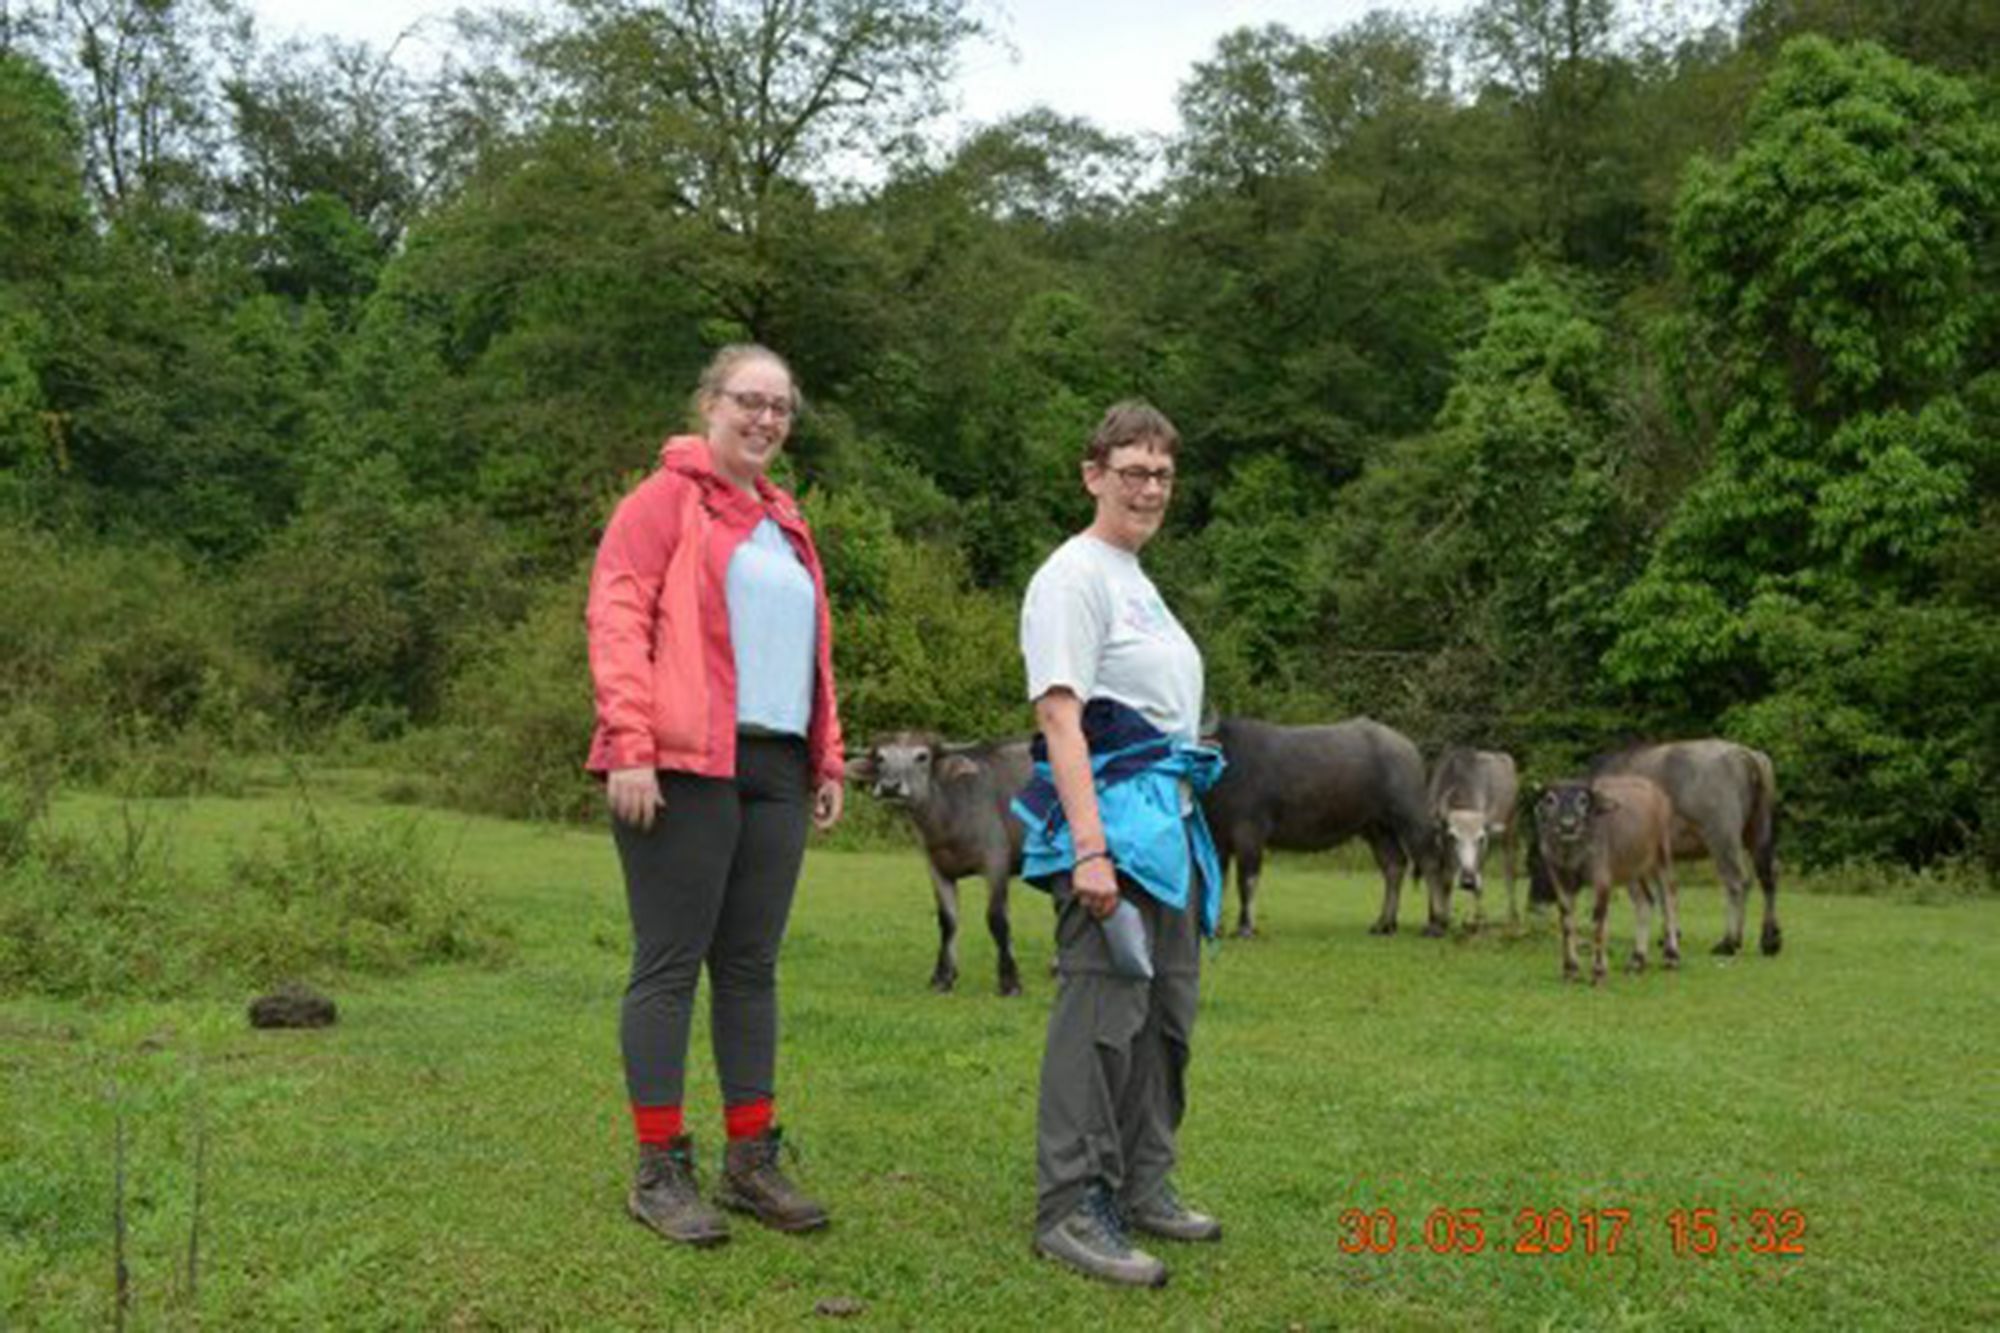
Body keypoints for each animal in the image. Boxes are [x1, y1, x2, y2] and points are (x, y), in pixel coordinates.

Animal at [844, 732, 1032, 992]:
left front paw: (1009, 980)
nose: (890, 786)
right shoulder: (937, 869)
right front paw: (943, 977)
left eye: (922, 757)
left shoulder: (996, 865)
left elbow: (997, 918)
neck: (950, 819)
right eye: (881, 758)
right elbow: (948, 920)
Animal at [1200, 716, 1440, 932]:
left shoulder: (1250, 833)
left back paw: (1435, 924)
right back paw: (1384, 924)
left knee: (1430, 862)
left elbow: (1246, 880)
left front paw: (1245, 927)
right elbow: (1217, 880)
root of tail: (1408, 748)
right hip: (1377, 828)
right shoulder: (1217, 838)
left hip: (1411, 817)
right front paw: (1215, 927)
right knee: (1394, 865)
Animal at [1424, 748, 1512, 924]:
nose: (1468, 881)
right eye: (1452, 836)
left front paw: (1475, 919)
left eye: (1481, 838)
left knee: (1508, 871)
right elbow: (1444, 881)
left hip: (1509, 831)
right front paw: (1439, 918)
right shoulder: (1437, 845)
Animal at [1536, 772, 1680, 980]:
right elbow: (1567, 921)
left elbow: (1598, 923)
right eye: (1550, 799)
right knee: (1645, 902)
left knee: (1669, 899)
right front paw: (1570, 969)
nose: (1568, 826)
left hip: (1661, 857)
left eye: (1583, 800)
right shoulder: (1559, 878)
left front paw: (1598, 971)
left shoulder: (1601, 880)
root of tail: (1660, 795)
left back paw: (1672, 957)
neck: (1573, 854)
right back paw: (1637, 960)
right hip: (1631, 871)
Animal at [1592, 736, 1784, 956]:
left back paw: (1729, 942)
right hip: (1757, 832)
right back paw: (1769, 940)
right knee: (1768, 876)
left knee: (1736, 881)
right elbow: (1665, 892)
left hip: (1722, 836)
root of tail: (1744, 752)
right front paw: (1669, 935)